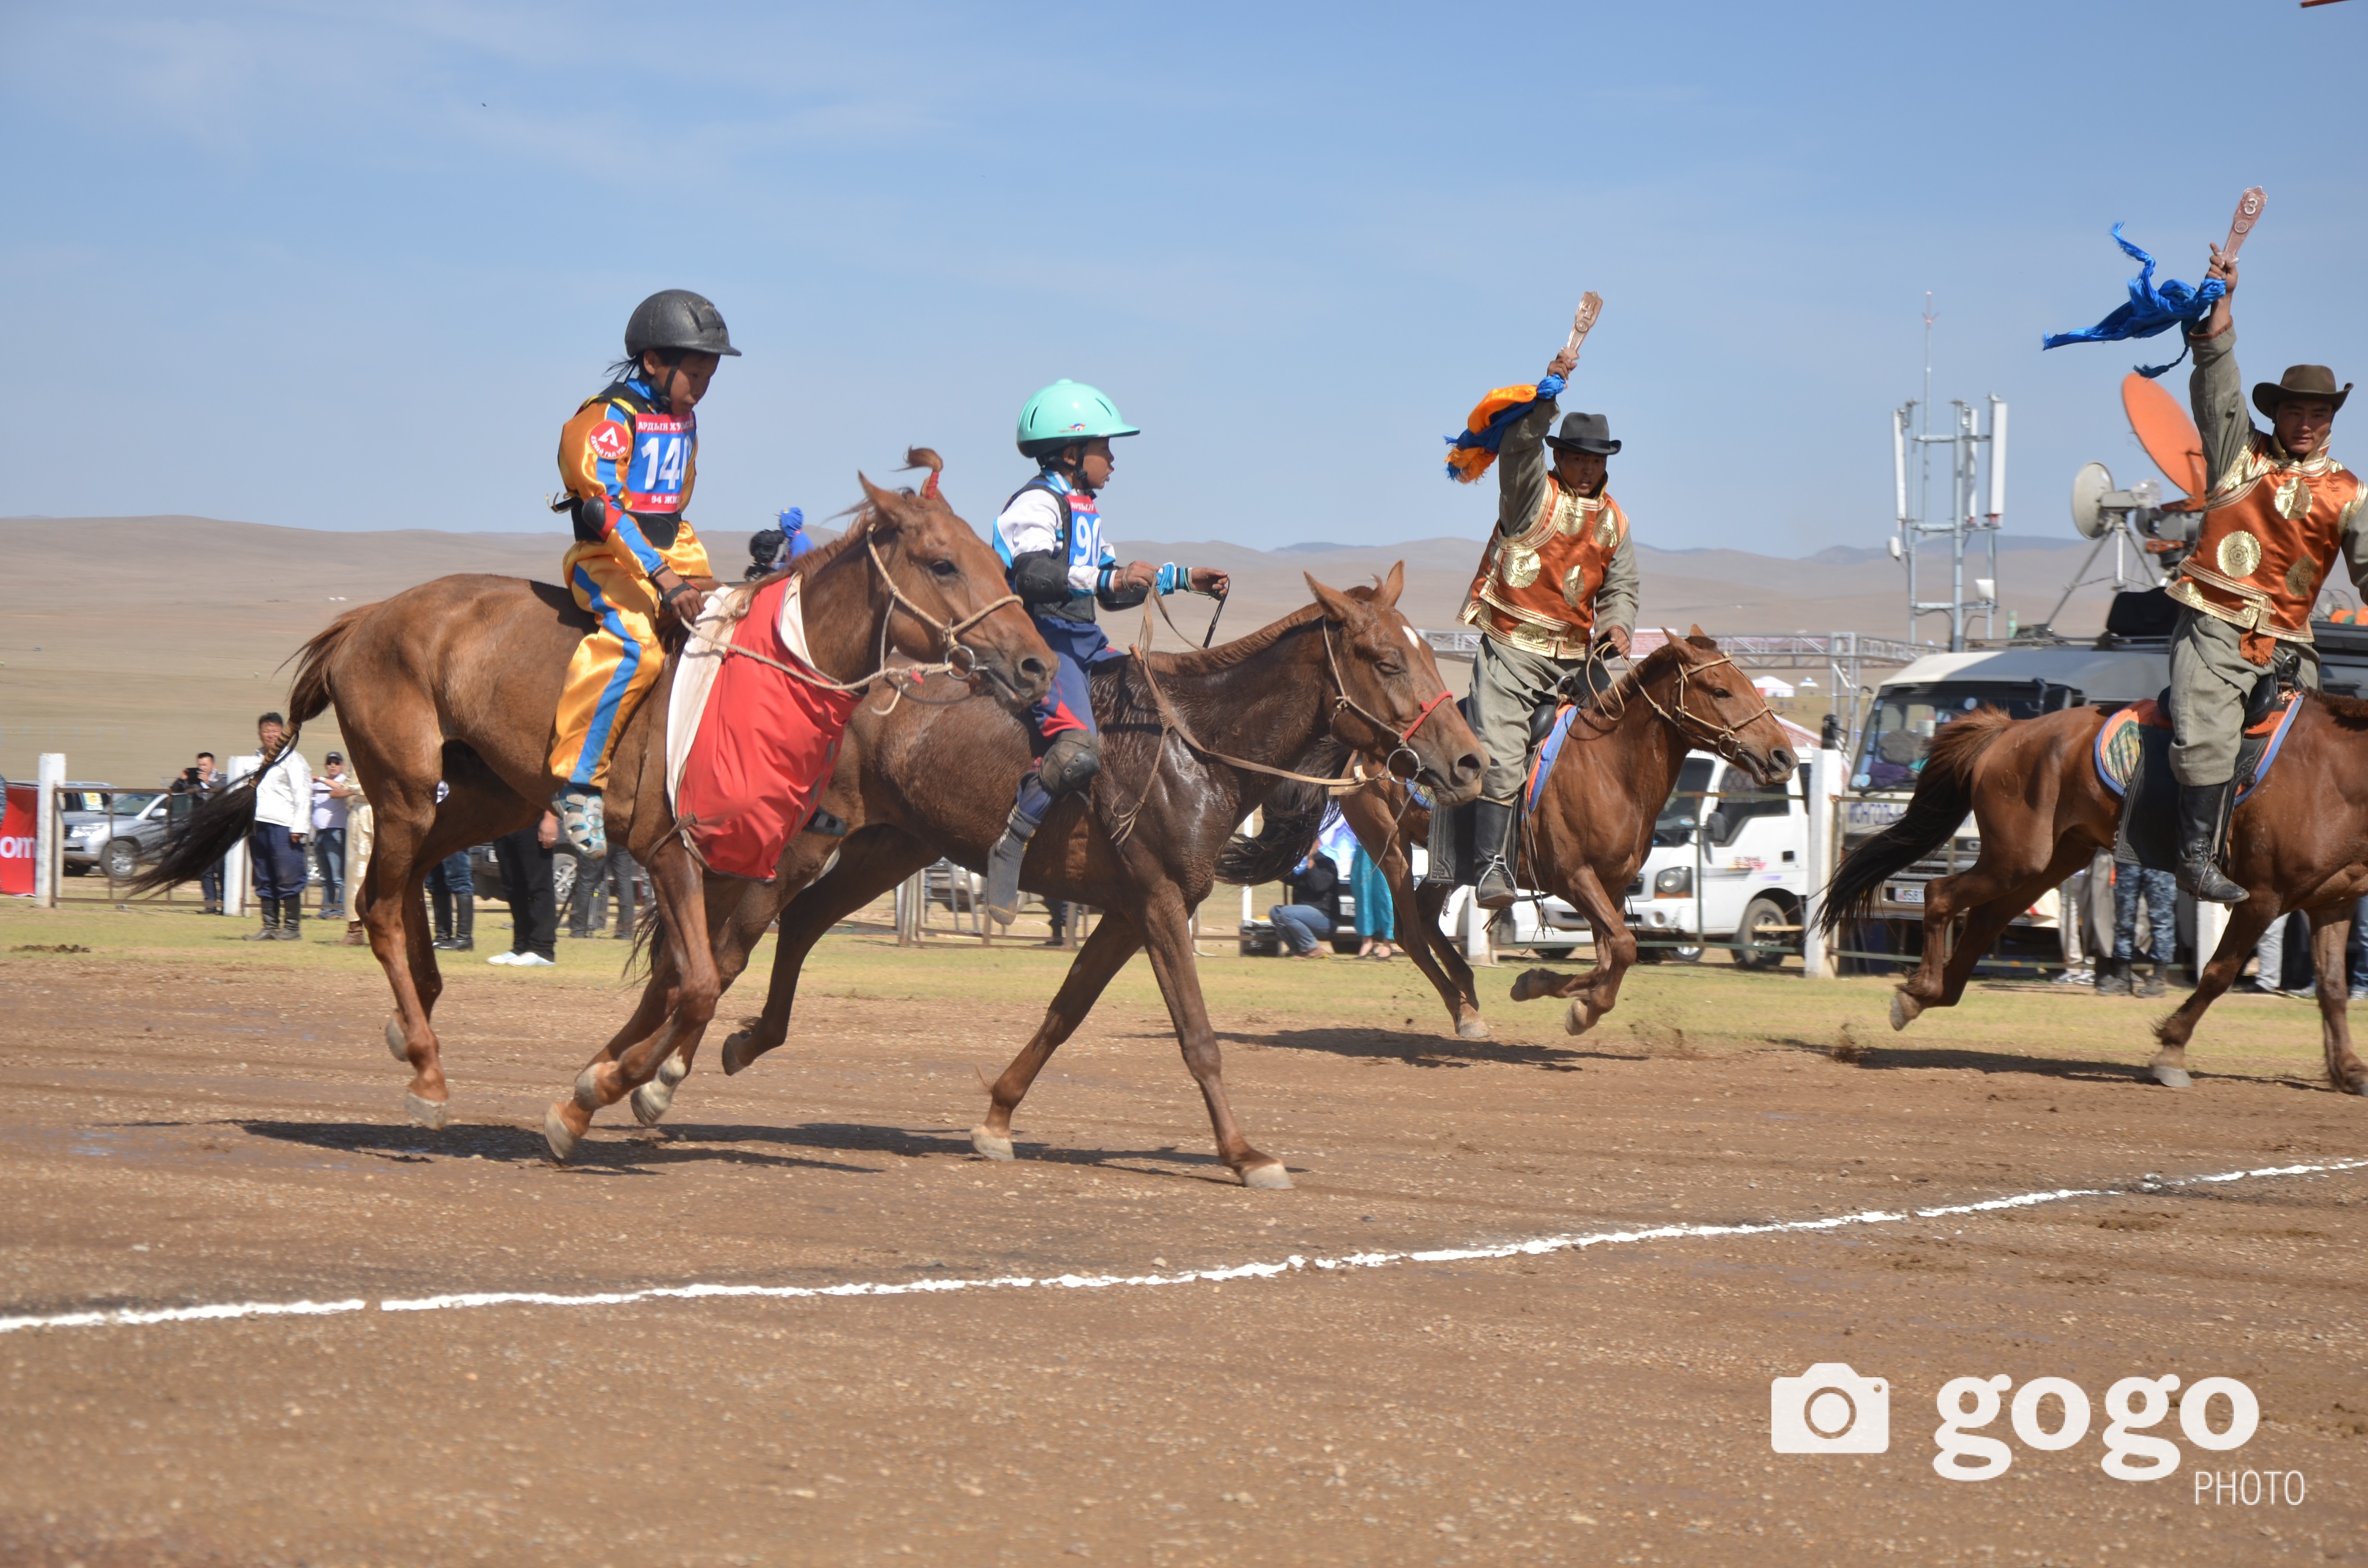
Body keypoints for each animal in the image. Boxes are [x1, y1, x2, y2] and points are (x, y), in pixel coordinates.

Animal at [136, 464, 1047, 1132]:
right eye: (943, 563)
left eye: (996, 560)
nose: (1035, 665)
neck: (760, 685)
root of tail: (364, 620)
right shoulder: (670, 850)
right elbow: (698, 984)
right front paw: (601, 1093)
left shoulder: (740, 863)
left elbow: (690, 980)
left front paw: (611, 1083)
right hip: (403, 788)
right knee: (385, 903)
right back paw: (426, 1067)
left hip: (488, 799)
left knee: (399, 888)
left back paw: (415, 1015)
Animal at [592, 566, 1478, 1193]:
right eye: (1386, 658)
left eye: (1426, 653)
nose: (1468, 761)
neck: (1194, 744)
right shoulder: (1159, 904)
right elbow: (1198, 1038)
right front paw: (1243, 1152)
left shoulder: (1128, 912)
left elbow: (1063, 1015)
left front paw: (996, 1117)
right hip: (800, 843)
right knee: (723, 952)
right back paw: (652, 1080)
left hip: (890, 846)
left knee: (785, 932)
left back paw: (693, 1054)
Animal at [1316, 625, 1790, 1042]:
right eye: (1720, 690)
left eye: (1748, 683)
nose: (1782, 755)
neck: (1610, 767)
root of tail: (1362, 748)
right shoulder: (1574, 878)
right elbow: (1623, 948)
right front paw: (1573, 1005)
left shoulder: (1612, 887)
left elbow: (1611, 956)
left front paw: (1551, 990)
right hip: (1391, 848)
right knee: (1411, 932)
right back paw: (1465, 1012)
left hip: (1446, 861)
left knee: (1427, 918)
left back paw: (1467, 986)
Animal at [1809, 696, 2368, 1099]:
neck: (2332, 776)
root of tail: (2010, 731)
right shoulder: (2260, 898)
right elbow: (2217, 974)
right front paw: (2170, 1050)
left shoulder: (2332, 904)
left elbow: (2333, 989)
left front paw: (2348, 1070)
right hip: (2018, 858)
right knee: (1940, 893)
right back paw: (1920, 990)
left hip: (2052, 860)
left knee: (1987, 919)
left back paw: (1935, 992)